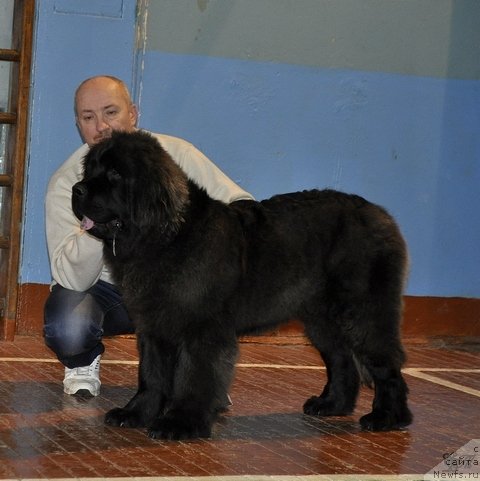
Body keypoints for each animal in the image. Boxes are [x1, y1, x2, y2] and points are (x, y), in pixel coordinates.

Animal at [72, 130, 412, 438]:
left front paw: (181, 423)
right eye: (90, 170)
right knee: (342, 360)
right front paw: (136, 413)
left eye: (115, 174)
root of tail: (381, 216)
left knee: (386, 364)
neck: (165, 236)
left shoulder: (202, 329)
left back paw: (388, 417)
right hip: (322, 320)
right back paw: (332, 405)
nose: (76, 189)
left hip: (362, 313)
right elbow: (152, 374)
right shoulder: (153, 324)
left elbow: (194, 376)